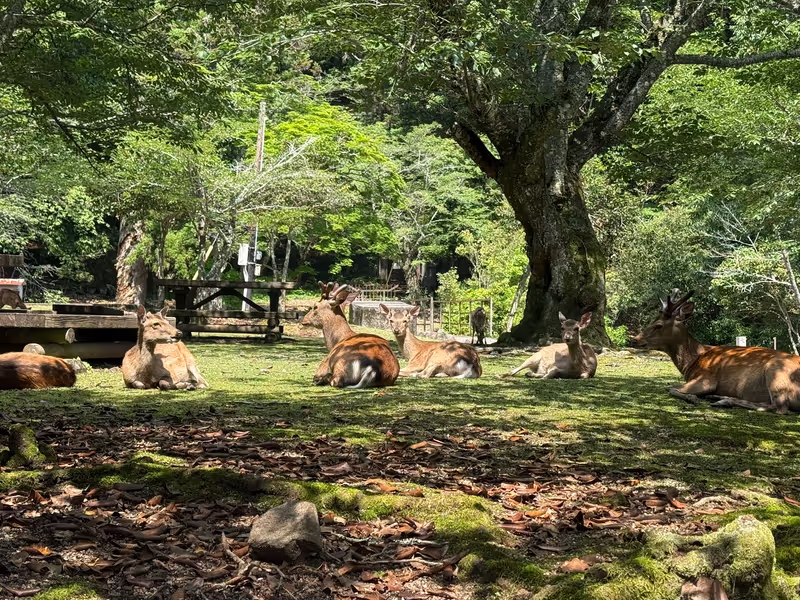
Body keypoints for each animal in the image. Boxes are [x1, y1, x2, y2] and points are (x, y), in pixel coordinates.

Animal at [633, 290, 800, 413]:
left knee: (779, 407)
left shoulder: (707, 378)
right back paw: (716, 397)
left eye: (659, 325)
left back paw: (723, 401)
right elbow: (669, 386)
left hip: (777, 372)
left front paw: (692, 398)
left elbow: (670, 388)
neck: (693, 361)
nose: (634, 339)